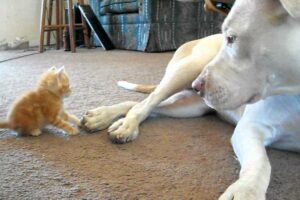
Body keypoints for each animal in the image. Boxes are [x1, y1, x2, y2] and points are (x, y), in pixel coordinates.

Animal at [82, 0, 300, 199]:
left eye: (231, 38)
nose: (198, 86)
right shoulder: (249, 129)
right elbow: (261, 162)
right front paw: (247, 190)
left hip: (189, 106)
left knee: (138, 104)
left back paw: (106, 117)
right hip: (187, 70)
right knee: (146, 103)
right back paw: (121, 123)